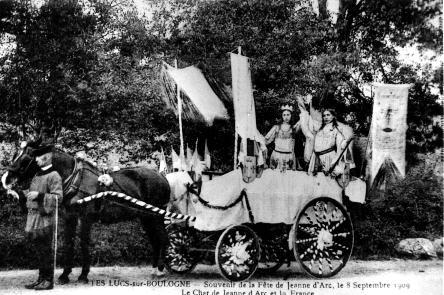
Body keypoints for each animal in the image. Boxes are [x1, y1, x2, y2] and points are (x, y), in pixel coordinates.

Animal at [2, 143, 173, 284]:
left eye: (26, 158)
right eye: (16, 154)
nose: (5, 180)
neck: (75, 179)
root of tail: (162, 176)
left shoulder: (86, 218)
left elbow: (84, 243)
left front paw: (83, 275)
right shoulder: (70, 217)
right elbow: (69, 243)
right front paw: (65, 275)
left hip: (156, 217)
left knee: (163, 239)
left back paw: (159, 270)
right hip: (146, 218)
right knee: (155, 241)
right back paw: (154, 268)